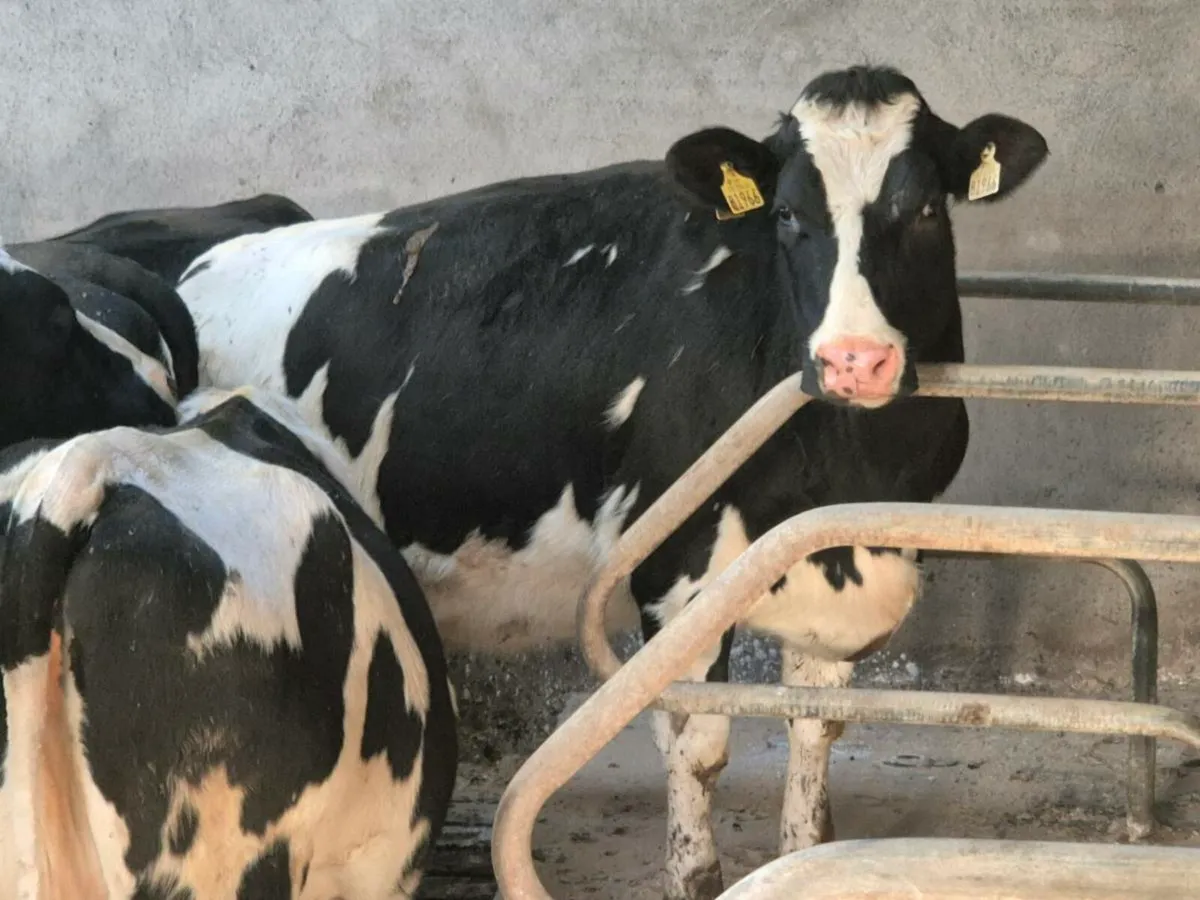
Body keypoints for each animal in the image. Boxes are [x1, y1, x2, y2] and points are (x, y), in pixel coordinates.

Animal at [67, 65, 1048, 899]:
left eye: (925, 207)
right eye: (788, 216)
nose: (854, 359)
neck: (844, 458)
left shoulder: (847, 549)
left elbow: (814, 729)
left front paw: (807, 852)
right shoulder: (676, 568)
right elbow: (699, 744)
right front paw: (693, 873)